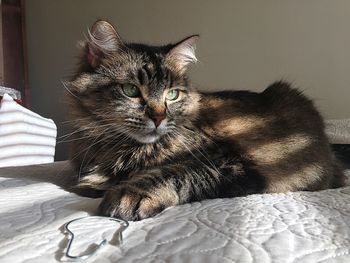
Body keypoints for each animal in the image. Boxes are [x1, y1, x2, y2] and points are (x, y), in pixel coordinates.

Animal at [65, 20, 344, 221]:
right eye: (131, 90)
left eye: (172, 94)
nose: (158, 116)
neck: (119, 148)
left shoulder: (229, 163)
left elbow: (174, 171)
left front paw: (129, 194)